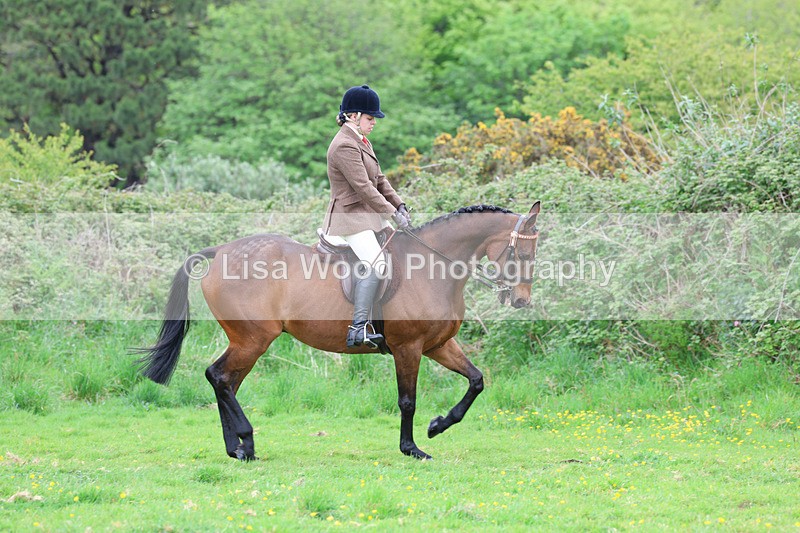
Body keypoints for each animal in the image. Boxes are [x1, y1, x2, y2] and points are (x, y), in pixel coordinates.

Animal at [138, 202, 541, 460]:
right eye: (523, 255)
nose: (522, 301)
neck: (432, 266)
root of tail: (221, 251)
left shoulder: (438, 345)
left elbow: (476, 381)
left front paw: (437, 426)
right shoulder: (409, 347)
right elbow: (407, 401)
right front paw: (412, 449)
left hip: (245, 341)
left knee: (226, 383)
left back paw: (235, 448)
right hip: (253, 340)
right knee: (219, 377)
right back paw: (247, 443)